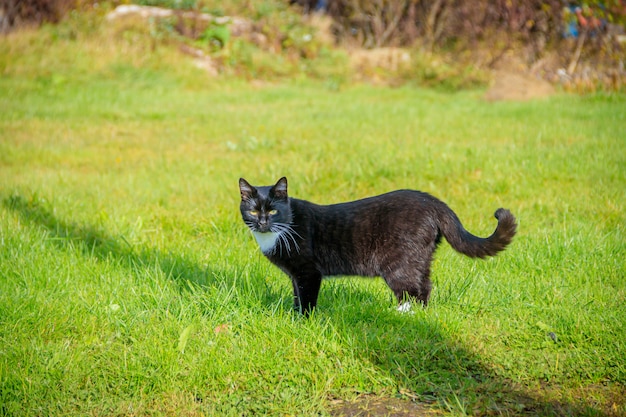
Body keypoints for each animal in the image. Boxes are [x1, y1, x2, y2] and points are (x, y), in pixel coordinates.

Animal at [236, 176, 516, 316]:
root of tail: (433, 202)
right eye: (253, 210)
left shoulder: (308, 272)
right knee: (425, 287)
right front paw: (293, 315)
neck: (279, 230)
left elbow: (306, 299)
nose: (262, 222)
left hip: (399, 263)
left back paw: (400, 315)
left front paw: (303, 321)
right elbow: (296, 295)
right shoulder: (296, 276)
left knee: (410, 290)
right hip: (421, 258)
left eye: (273, 210)